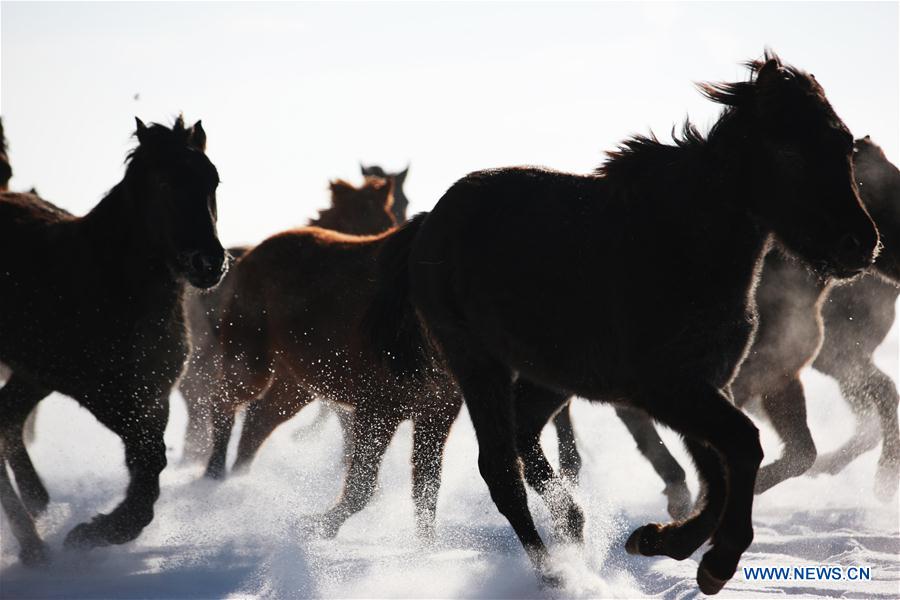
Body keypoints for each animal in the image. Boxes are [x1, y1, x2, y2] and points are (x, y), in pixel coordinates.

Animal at [0, 116, 226, 566]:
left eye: (213, 180)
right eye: (165, 183)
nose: (209, 263)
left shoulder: (153, 394)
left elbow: (147, 470)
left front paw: (93, 532)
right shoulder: (105, 395)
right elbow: (149, 463)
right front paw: (90, 533)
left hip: (32, 376)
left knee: (4, 422)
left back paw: (35, 528)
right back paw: (33, 544)